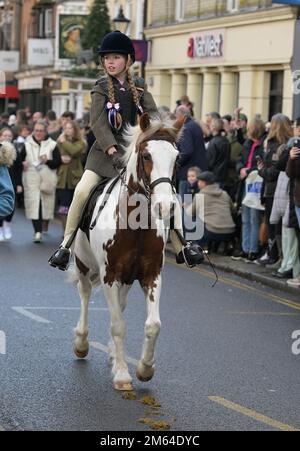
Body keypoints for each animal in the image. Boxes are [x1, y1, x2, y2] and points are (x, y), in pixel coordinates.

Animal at [72, 114, 180, 392]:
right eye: (146, 156)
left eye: (176, 157)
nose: (166, 206)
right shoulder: (109, 275)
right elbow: (118, 325)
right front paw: (122, 375)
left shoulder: (151, 275)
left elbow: (153, 325)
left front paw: (145, 368)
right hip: (84, 265)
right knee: (85, 294)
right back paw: (82, 343)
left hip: (127, 279)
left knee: (119, 305)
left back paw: (112, 353)